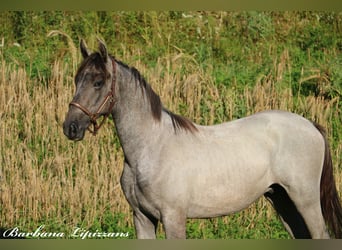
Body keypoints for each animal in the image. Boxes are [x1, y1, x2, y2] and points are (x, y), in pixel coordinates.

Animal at [62, 39, 340, 238]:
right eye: (76, 79)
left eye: (98, 82)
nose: (70, 127)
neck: (151, 148)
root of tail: (312, 125)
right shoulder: (142, 218)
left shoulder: (173, 218)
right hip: (283, 201)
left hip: (305, 201)